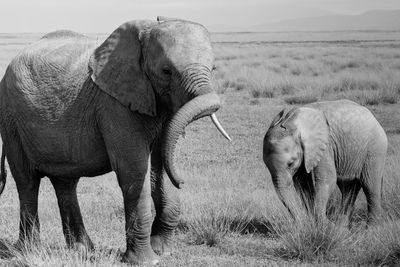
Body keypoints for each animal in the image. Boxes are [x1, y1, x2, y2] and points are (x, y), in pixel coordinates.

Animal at [0, 17, 230, 266]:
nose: (183, 182)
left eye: (213, 68)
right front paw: (146, 261)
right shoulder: (114, 104)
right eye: (166, 71)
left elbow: (161, 165)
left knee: (65, 182)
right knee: (27, 181)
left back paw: (83, 250)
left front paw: (162, 252)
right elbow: (134, 170)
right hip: (11, 120)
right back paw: (29, 250)